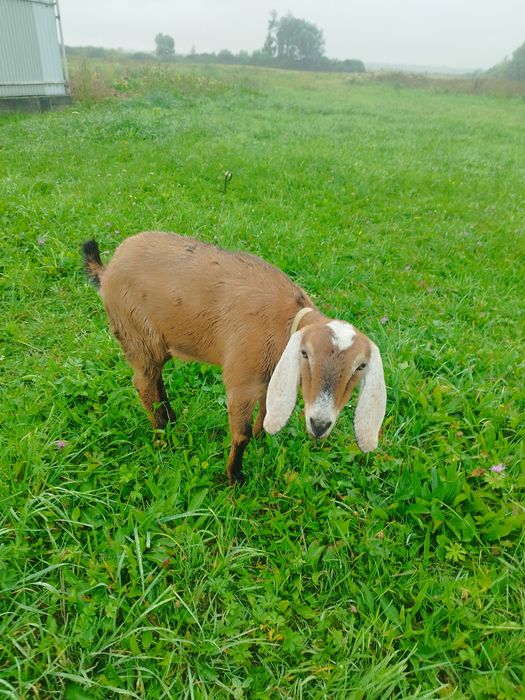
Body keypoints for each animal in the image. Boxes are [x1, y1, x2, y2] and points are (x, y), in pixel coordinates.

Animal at [82, 232, 387, 484]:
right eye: (305, 354)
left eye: (360, 367)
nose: (320, 425)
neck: (285, 321)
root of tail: (107, 270)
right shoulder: (242, 381)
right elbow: (240, 435)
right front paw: (234, 476)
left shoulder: (269, 376)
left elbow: (264, 412)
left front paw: (261, 440)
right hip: (137, 333)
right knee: (143, 383)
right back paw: (162, 436)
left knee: (156, 378)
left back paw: (170, 418)